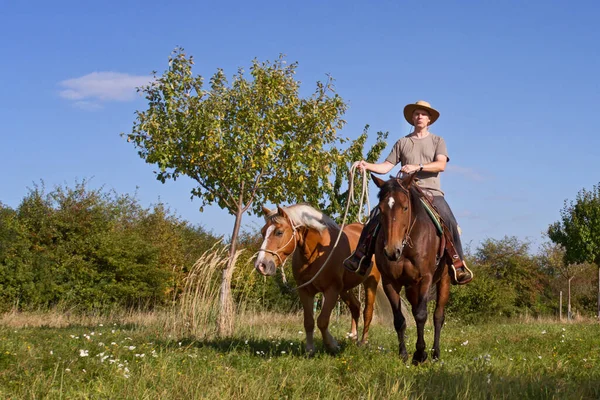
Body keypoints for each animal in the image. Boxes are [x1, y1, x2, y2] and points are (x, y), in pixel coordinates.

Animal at [253, 205, 380, 354]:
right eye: (263, 232)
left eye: (279, 232)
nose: (261, 265)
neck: (316, 252)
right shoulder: (305, 291)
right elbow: (309, 321)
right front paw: (310, 349)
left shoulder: (331, 290)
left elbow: (322, 321)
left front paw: (332, 345)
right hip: (345, 289)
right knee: (355, 307)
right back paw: (353, 337)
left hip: (370, 282)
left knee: (368, 312)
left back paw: (363, 342)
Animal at [372, 173, 452, 364]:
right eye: (381, 209)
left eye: (405, 207)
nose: (391, 251)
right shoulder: (390, 282)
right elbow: (399, 319)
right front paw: (404, 354)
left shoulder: (425, 278)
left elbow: (422, 315)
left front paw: (420, 354)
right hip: (411, 288)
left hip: (444, 280)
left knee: (438, 316)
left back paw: (435, 353)